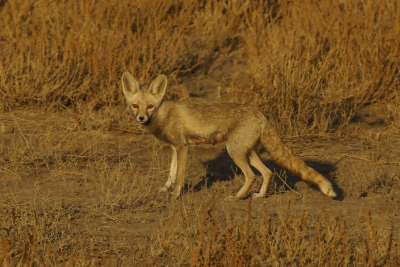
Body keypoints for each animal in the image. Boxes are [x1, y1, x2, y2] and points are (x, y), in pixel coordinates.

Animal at [122, 72, 338, 202]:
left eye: (150, 106)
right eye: (135, 106)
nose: (141, 118)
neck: (164, 114)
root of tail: (259, 113)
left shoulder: (183, 147)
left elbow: (180, 175)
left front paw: (175, 195)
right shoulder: (175, 148)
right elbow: (171, 172)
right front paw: (166, 189)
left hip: (234, 152)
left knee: (252, 176)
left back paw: (236, 198)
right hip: (248, 153)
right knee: (268, 173)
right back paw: (259, 196)